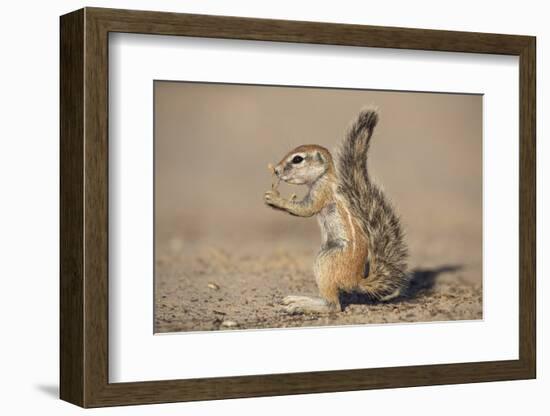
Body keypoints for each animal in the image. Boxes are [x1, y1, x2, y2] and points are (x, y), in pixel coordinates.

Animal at [266, 109, 412, 314]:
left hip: (326, 261)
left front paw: (276, 199)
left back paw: (300, 304)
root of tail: (355, 280)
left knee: (333, 306)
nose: (277, 171)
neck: (324, 176)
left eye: (297, 159)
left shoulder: (321, 193)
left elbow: (306, 209)